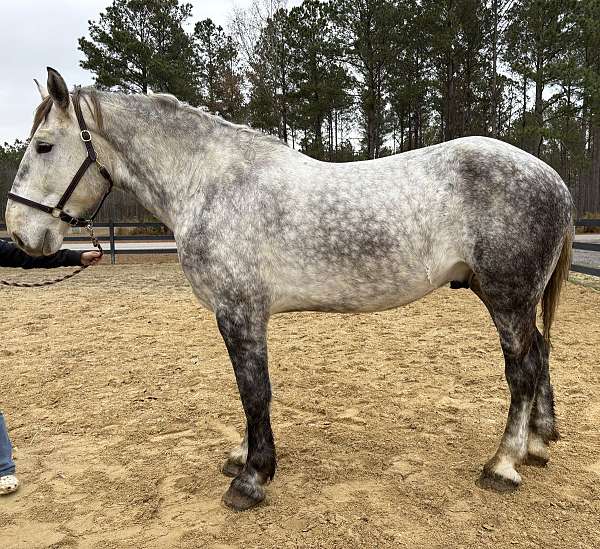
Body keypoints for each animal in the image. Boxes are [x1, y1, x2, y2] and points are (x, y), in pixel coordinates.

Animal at [7, 67, 576, 510]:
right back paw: (538, 446)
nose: (20, 234)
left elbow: (254, 390)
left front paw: (252, 479)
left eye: (44, 145)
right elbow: (247, 391)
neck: (211, 184)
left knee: (522, 372)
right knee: (541, 355)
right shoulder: (240, 315)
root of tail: (554, 179)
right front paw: (242, 457)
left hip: (508, 300)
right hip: (509, 299)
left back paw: (503, 465)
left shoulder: (239, 312)